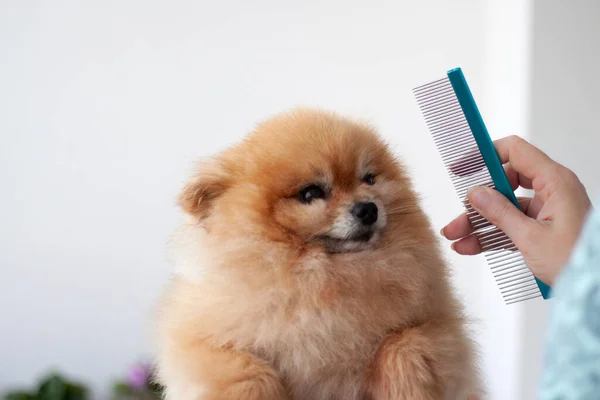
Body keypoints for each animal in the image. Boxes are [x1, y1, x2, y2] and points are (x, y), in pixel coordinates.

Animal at [156, 109, 482, 400]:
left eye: (368, 179)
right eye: (311, 193)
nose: (368, 208)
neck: (323, 278)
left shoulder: (440, 326)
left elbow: (403, 345)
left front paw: (405, 389)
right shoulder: (198, 343)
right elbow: (247, 371)